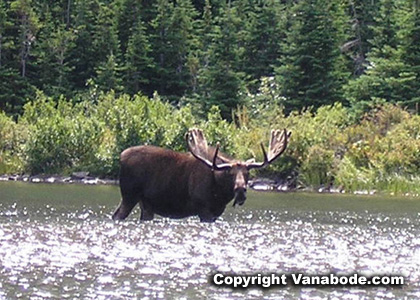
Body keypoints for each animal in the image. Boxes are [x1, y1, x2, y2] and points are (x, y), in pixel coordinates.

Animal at [111, 127, 288, 221]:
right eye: (229, 173)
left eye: (247, 173)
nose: (240, 190)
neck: (219, 194)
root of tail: (121, 156)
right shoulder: (203, 208)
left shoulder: (216, 212)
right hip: (129, 195)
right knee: (116, 215)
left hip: (146, 203)